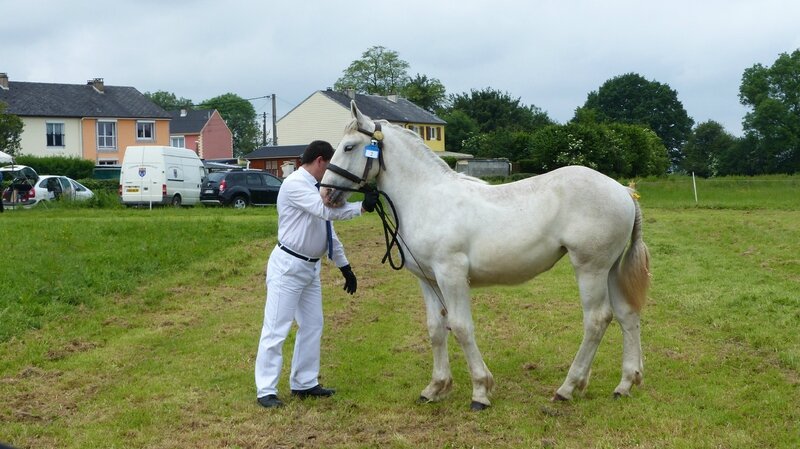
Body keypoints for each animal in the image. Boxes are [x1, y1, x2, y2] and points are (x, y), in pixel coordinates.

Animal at [318, 101, 648, 410]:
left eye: (349, 147)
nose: (325, 193)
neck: (427, 197)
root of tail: (622, 190)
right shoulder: (428, 280)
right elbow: (436, 329)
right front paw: (435, 388)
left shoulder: (451, 274)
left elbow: (461, 327)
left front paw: (480, 391)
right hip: (609, 270)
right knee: (626, 315)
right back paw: (625, 384)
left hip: (590, 269)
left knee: (597, 320)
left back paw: (568, 387)